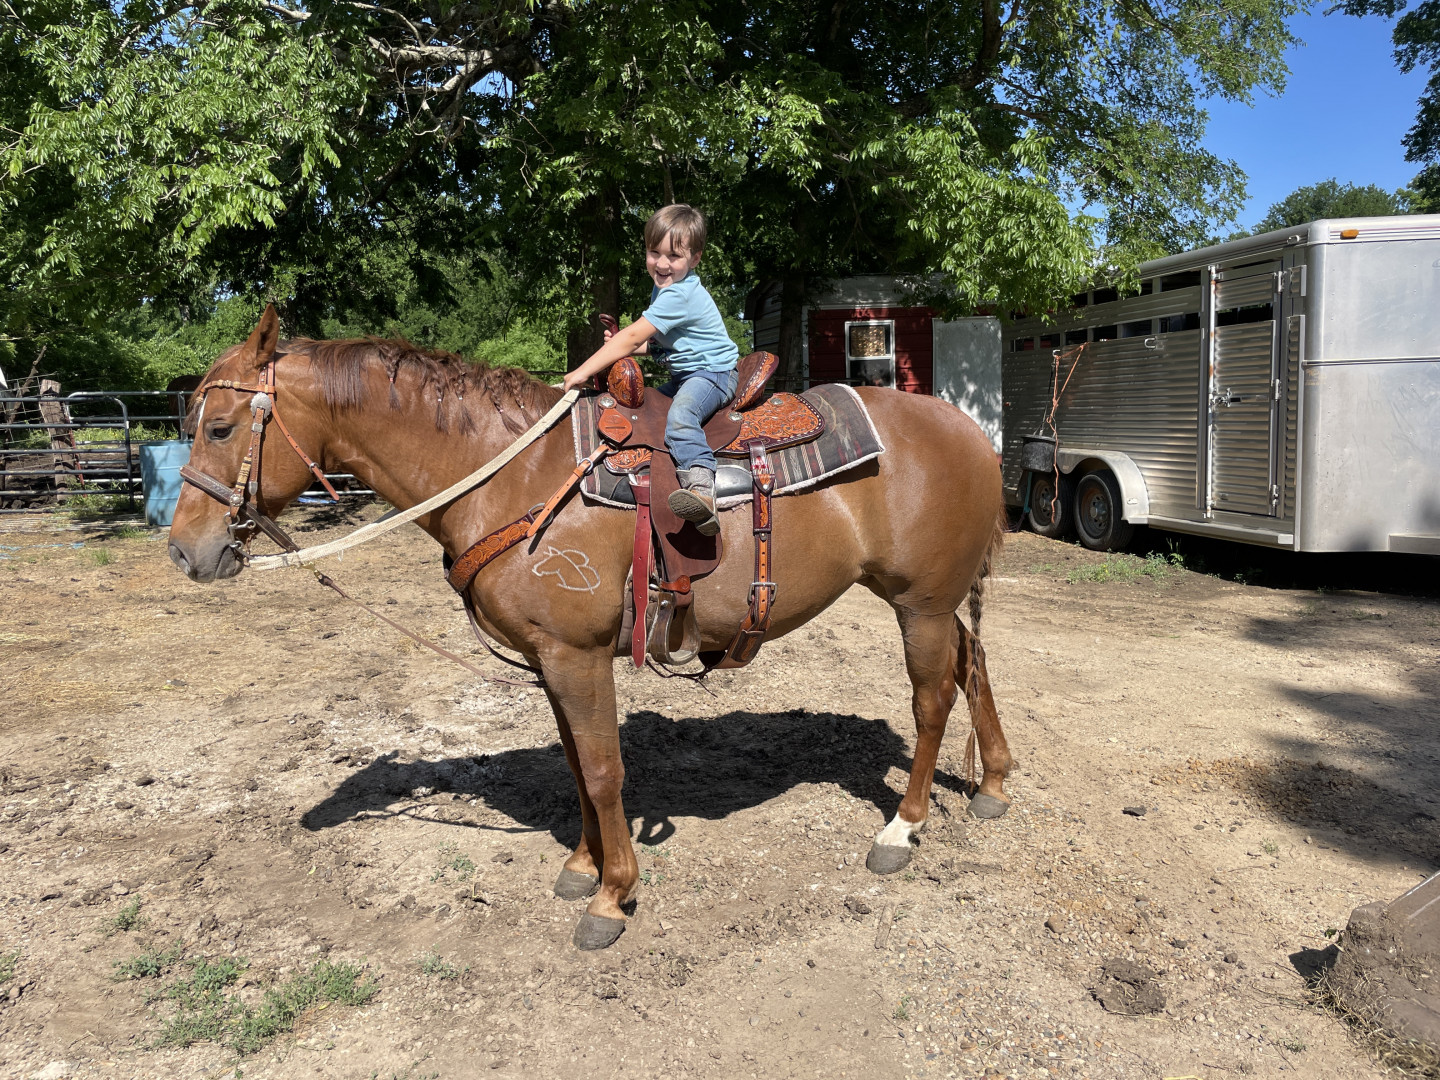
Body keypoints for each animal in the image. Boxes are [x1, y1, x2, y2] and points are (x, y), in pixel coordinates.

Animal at [166, 306, 1015, 950]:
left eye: (219, 427)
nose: (183, 550)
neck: (511, 473)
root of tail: (970, 429)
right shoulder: (550, 659)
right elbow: (576, 766)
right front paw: (582, 866)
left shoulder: (578, 656)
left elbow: (604, 770)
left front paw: (614, 895)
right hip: (934, 603)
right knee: (974, 663)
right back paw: (994, 782)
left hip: (920, 605)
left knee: (933, 700)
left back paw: (900, 831)